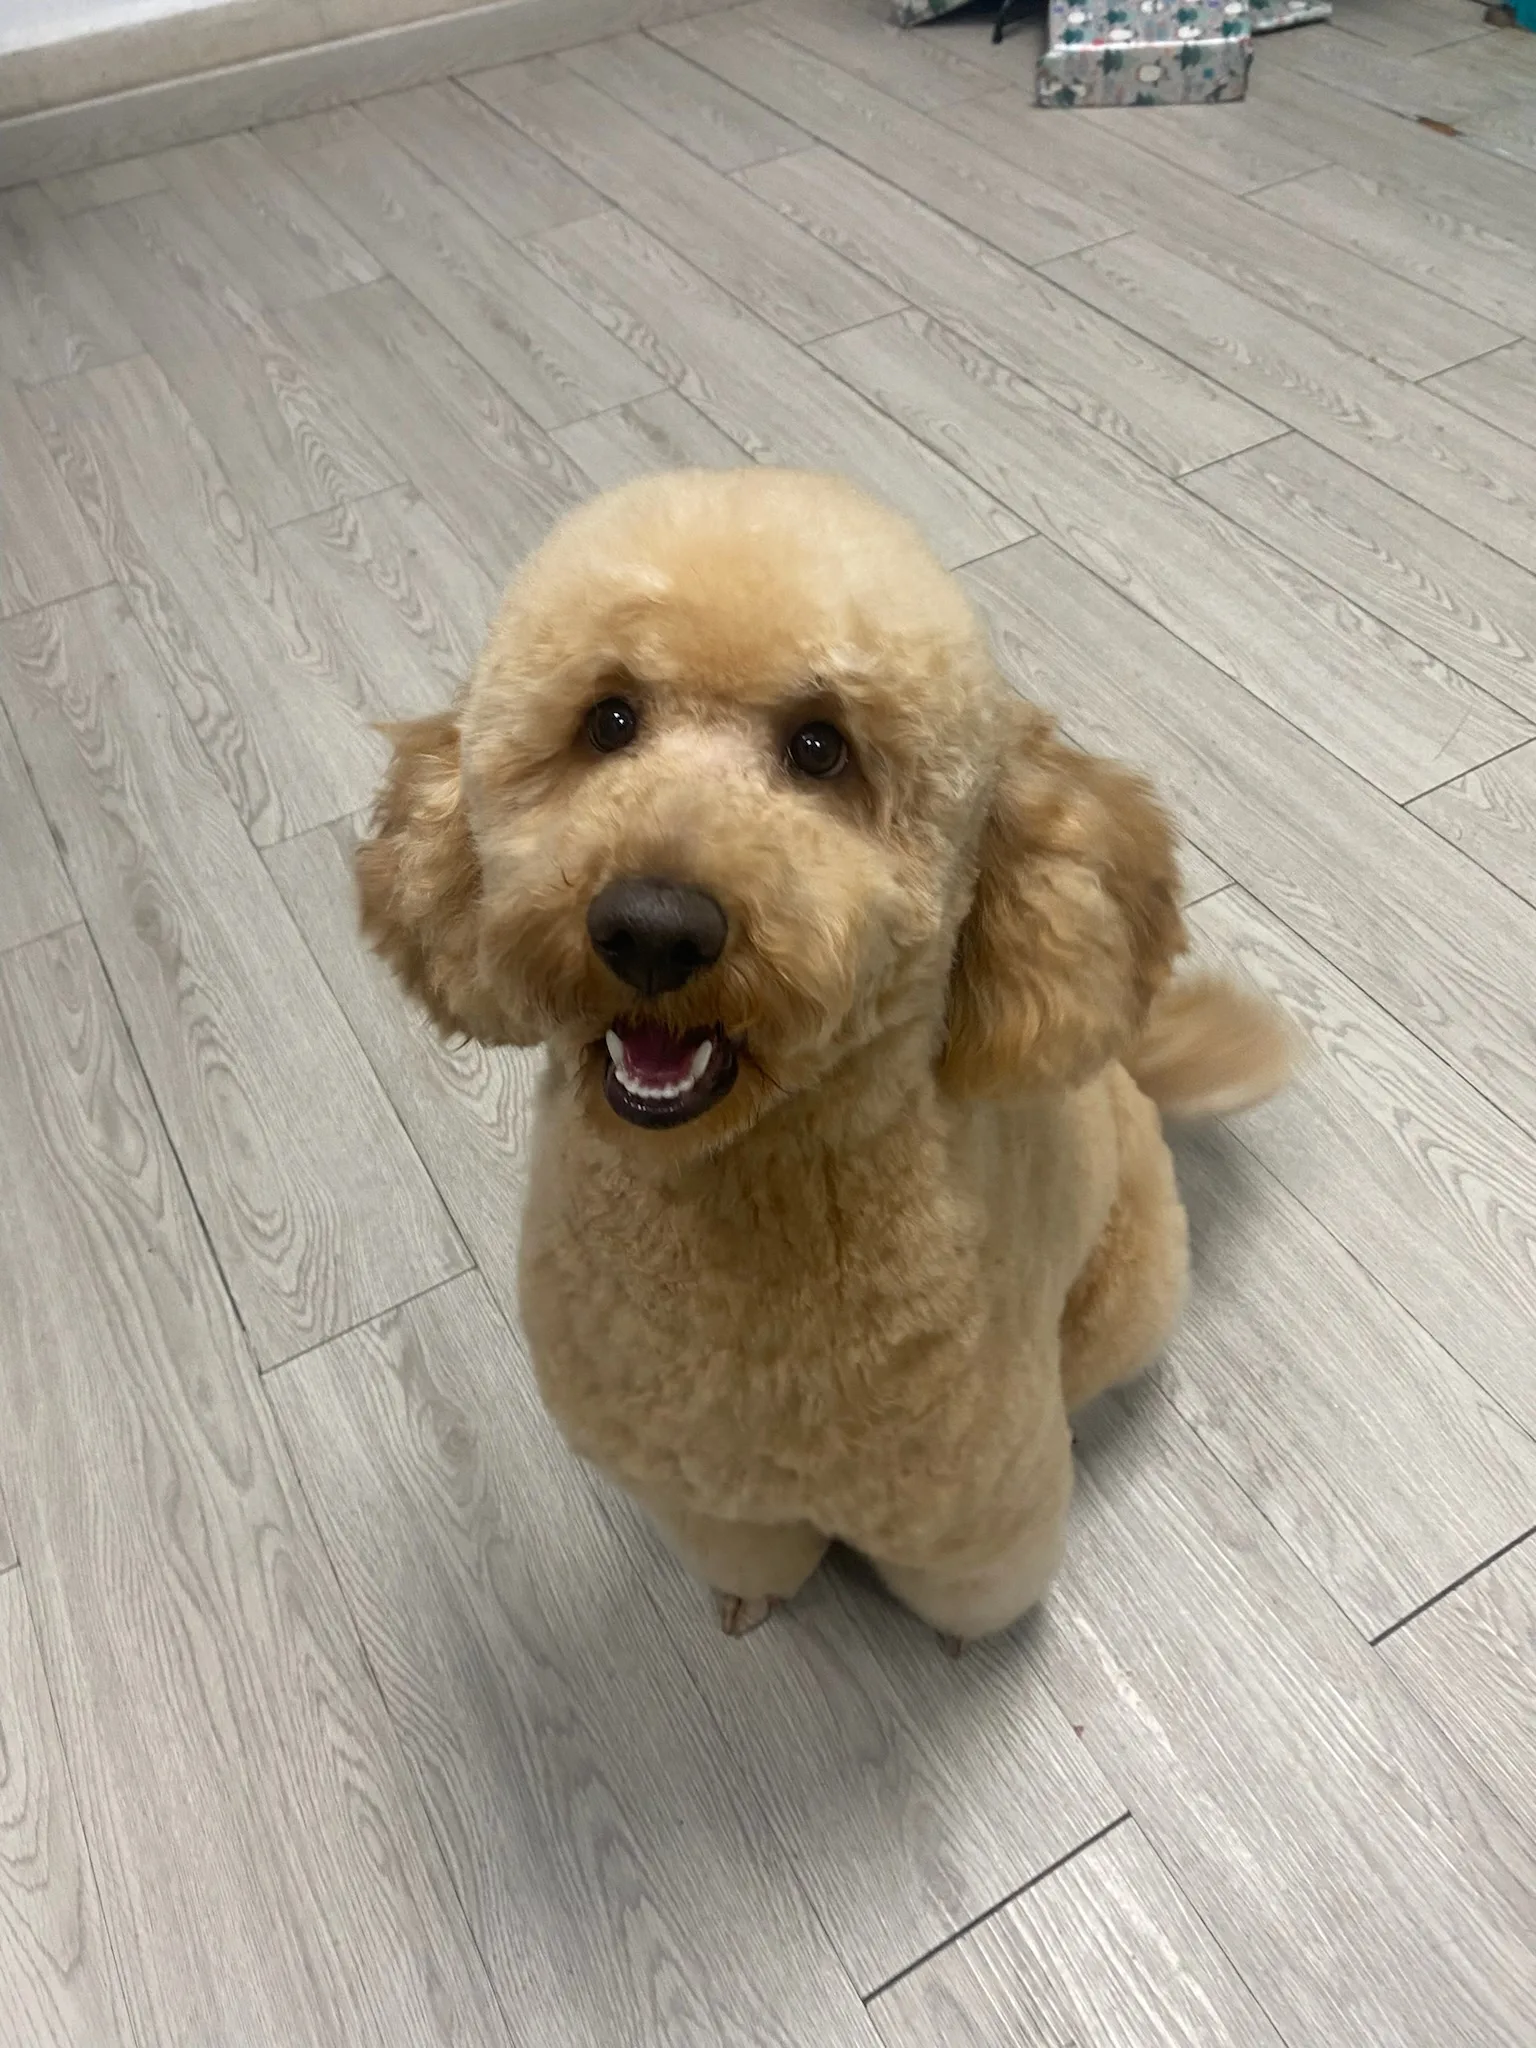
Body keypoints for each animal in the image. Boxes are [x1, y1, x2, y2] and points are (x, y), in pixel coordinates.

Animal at [357, 469, 1292, 1646]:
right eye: (608, 721)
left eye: (819, 748)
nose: (653, 927)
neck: (750, 1197)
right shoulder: (699, 1487)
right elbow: (752, 1548)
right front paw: (753, 1595)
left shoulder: (978, 1511)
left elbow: (974, 1591)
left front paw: (959, 1640)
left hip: (1129, 1289)